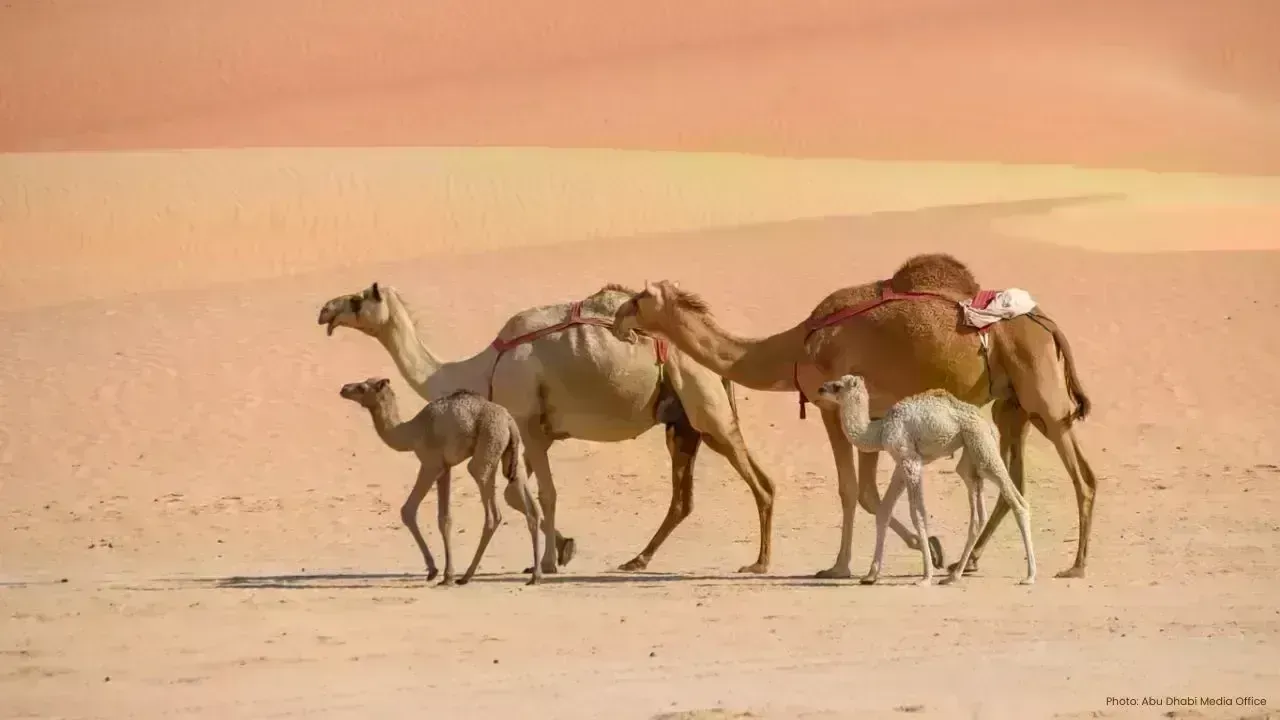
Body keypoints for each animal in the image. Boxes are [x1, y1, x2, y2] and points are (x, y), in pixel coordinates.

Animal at [339, 378, 545, 586]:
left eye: (362, 387)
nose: (344, 389)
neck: (411, 433)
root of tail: (509, 421)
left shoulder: (431, 464)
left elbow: (408, 510)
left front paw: (434, 571)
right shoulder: (445, 469)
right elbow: (444, 518)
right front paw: (447, 575)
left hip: (488, 446)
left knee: (492, 511)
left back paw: (467, 576)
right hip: (511, 456)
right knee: (532, 509)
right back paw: (535, 575)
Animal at [815, 375, 1036, 587]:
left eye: (837, 386)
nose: (820, 388)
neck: (879, 430)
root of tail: (986, 423)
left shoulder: (910, 461)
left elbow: (918, 514)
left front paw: (925, 577)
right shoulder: (900, 464)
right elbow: (884, 510)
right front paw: (871, 575)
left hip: (981, 446)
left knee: (1017, 502)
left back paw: (1029, 576)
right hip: (970, 456)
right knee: (978, 514)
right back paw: (953, 576)